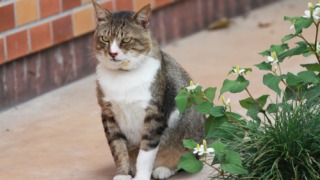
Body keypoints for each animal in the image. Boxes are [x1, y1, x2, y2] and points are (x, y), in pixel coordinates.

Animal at [92, 0, 202, 179]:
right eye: (105, 38)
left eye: (126, 39)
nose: (112, 53)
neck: (123, 76)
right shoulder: (108, 114)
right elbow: (117, 148)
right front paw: (123, 174)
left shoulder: (154, 114)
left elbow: (145, 152)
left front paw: (141, 176)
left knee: (185, 159)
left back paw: (163, 169)